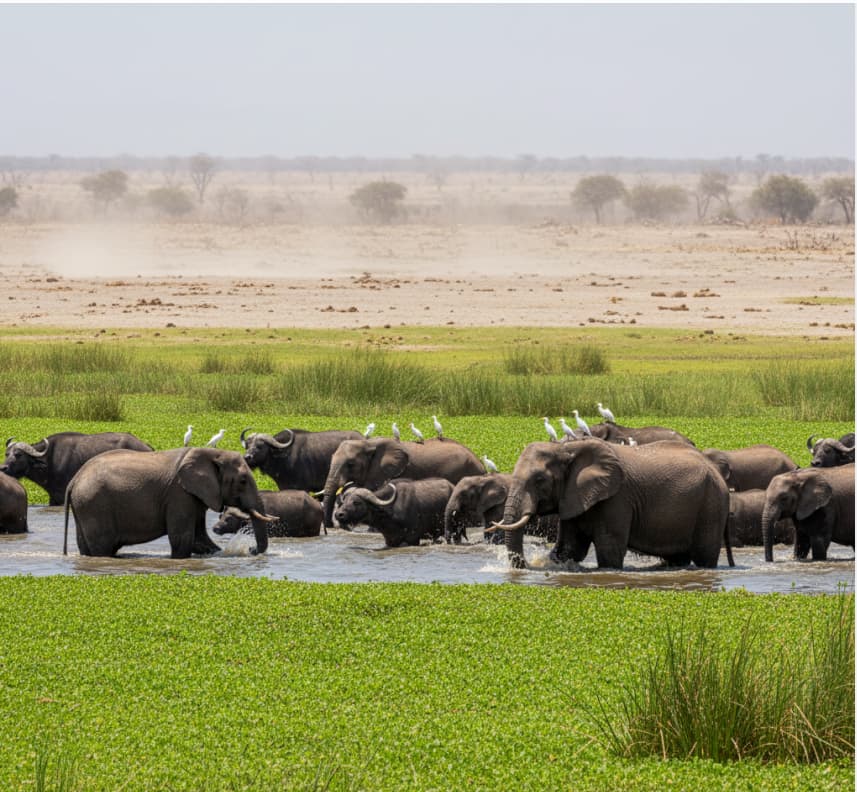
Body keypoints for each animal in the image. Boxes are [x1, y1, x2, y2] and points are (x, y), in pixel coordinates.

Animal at [3, 432, 153, 506]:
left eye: (18, 454)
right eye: (7, 454)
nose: (3, 468)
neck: (50, 459)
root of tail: (147, 446)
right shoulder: (53, 497)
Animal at [64, 447, 273, 558]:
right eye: (243, 481)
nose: (251, 549)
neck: (213, 453)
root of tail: (74, 480)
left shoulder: (195, 495)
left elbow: (199, 539)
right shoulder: (179, 494)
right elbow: (182, 538)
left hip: (84, 505)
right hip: (95, 504)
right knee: (104, 546)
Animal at [493, 438, 733, 570]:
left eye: (539, 480)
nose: (527, 566)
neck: (567, 448)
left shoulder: (616, 499)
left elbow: (609, 550)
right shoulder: (574, 497)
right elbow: (570, 548)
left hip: (711, 504)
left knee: (704, 555)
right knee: (678, 557)